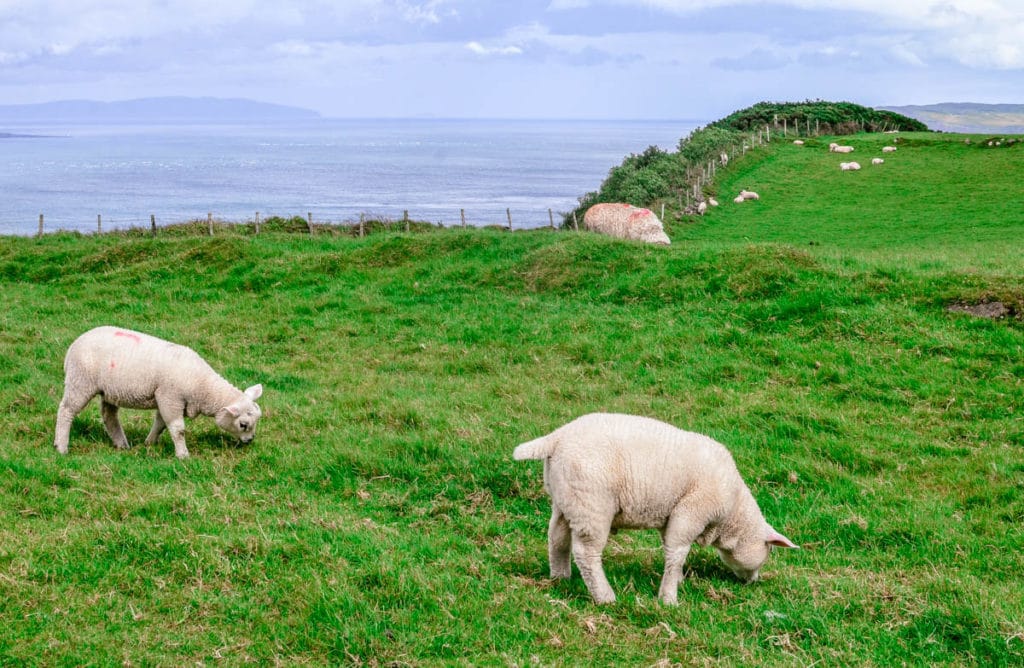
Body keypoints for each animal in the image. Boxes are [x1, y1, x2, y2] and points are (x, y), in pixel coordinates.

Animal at [54, 325, 264, 458]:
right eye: (243, 424)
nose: (250, 441)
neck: (201, 385)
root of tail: (73, 346)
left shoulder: (166, 399)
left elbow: (161, 424)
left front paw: (149, 443)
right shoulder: (170, 397)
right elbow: (178, 429)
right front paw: (183, 455)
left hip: (109, 391)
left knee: (109, 416)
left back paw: (122, 444)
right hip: (80, 381)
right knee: (66, 410)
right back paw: (61, 447)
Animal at [512, 411, 798, 606]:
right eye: (769, 551)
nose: (754, 581)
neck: (732, 516)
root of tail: (557, 437)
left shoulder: (672, 515)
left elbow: (670, 547)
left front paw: (677, 580)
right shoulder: (691, 511)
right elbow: (677, 551)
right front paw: (669, 598)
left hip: (566, 500)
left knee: (557, 538)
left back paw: (560, 578)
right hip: (592, 504)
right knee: (586, 554)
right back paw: (605, 597)